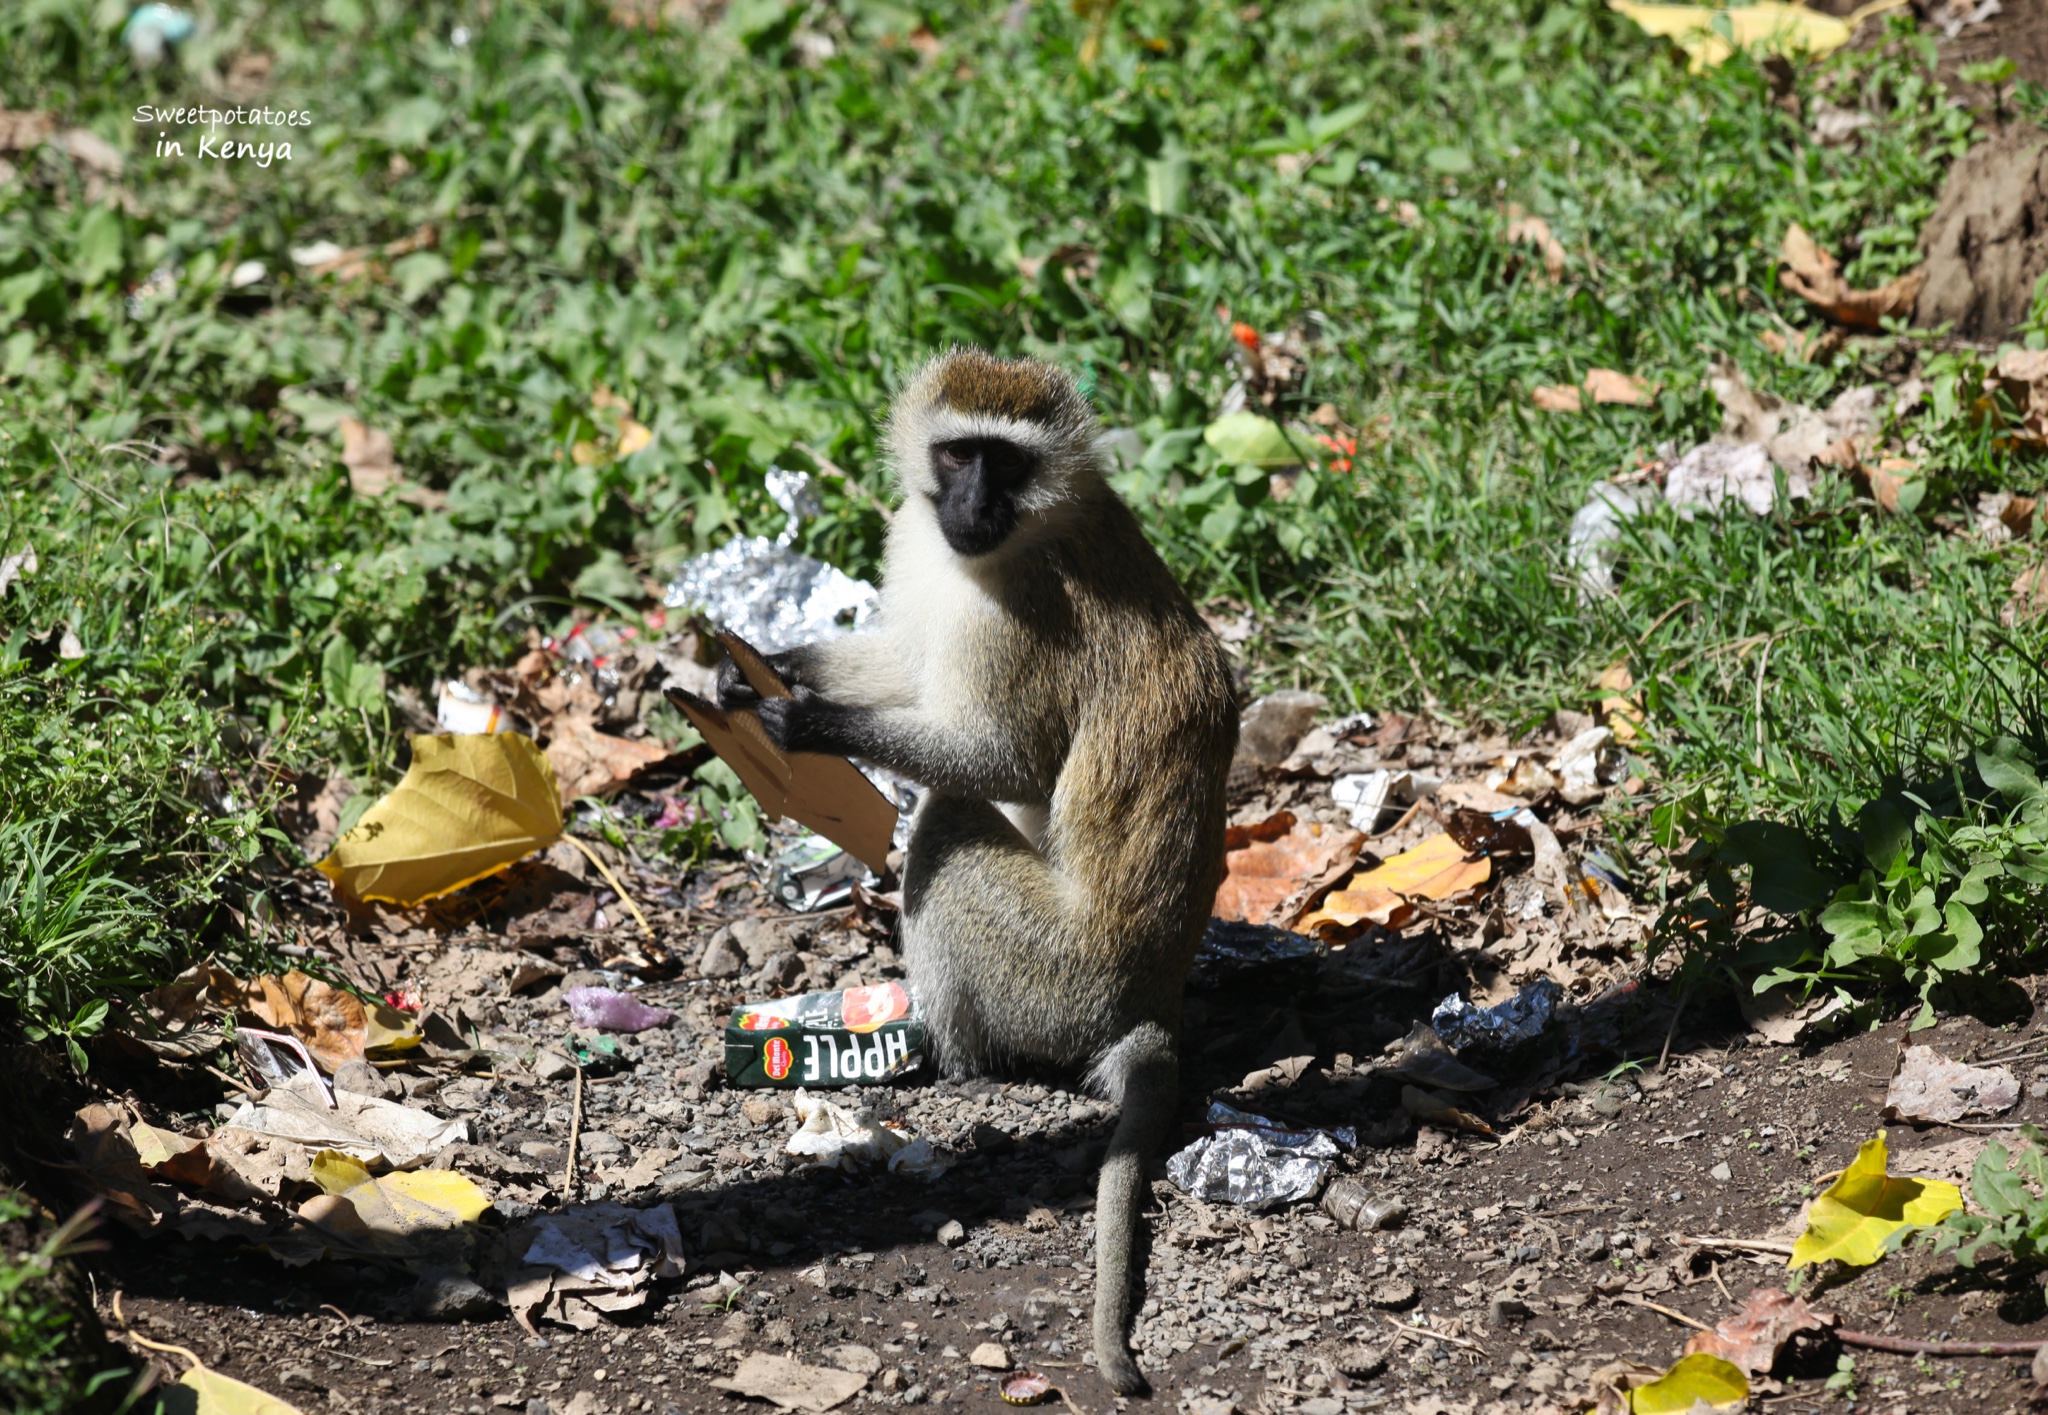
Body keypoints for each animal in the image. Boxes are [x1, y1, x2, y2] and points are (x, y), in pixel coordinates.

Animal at [720, 346, 1228, 1392]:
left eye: (1008, 461)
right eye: (959, 453)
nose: (975, 501)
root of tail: (1151, 997)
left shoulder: (1023, 611)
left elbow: (1011, 764)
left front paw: (809, 722)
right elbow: (908, 662)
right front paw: (758, 667)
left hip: (1051, 977)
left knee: (947, 820)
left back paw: (937, 1049)